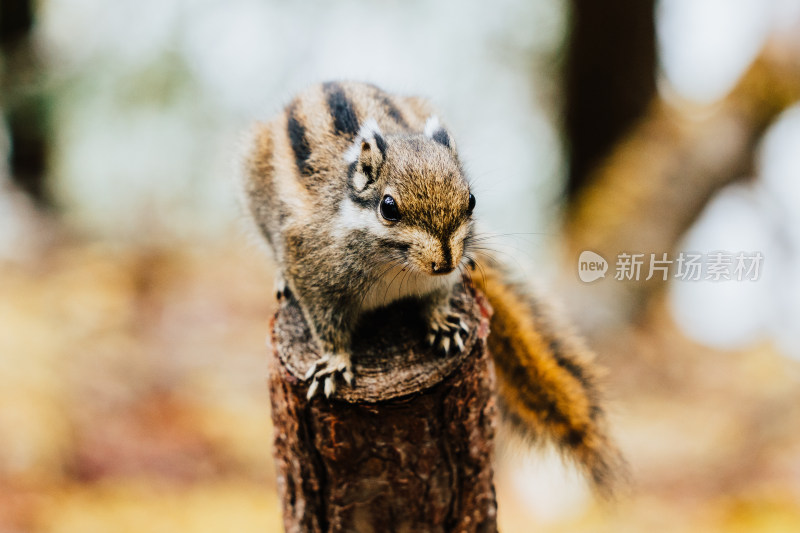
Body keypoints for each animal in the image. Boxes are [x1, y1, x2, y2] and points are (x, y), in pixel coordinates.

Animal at [241, 81, 628, 496]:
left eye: (471, 200)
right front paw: (335, 361)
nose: (445, 261)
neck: (399, 272)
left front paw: (442, 324)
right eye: (388, 207)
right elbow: (326, 323)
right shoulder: (312, 269)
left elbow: (437, 299)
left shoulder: (442, 281)